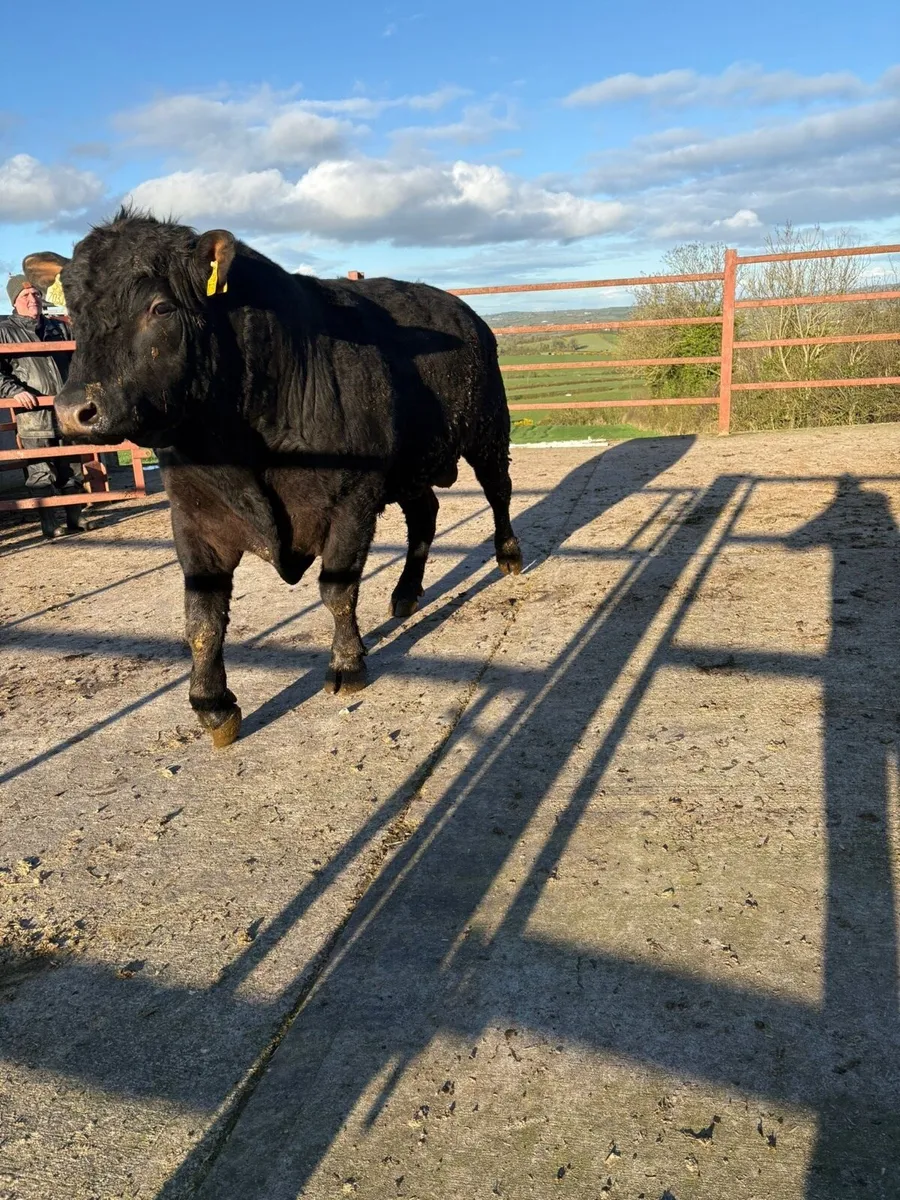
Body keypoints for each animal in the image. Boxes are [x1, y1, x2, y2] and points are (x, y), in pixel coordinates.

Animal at [25, 210, 521, 747]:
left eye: (160, 307)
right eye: (74, 312)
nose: (74, 411)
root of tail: (466, 313)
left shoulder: (353, 499)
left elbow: (337, 589)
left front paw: (347, 665)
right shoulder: (194, 519)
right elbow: (201, 616)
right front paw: (212, 704)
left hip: (489, 430)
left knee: (498, 492)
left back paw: (509, 556)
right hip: (411, 468)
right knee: (425, 514)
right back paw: (406, 592)